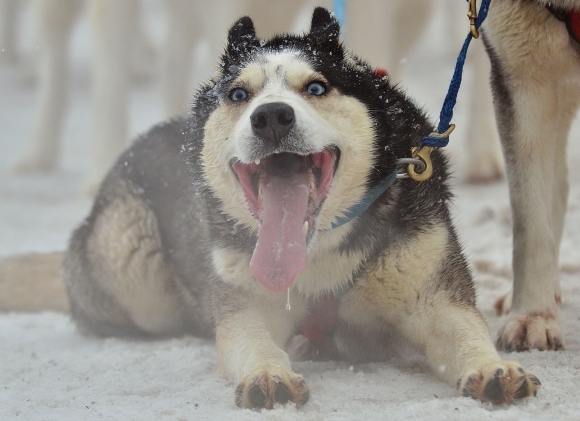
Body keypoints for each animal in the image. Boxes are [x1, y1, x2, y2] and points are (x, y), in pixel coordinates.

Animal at [60, 7, 540, 406]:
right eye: (239, 95)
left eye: (315, 87)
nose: (271, 116)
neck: (317, 256)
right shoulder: (246, 298)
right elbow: (251, 340)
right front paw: (266, 374)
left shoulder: (432, 288)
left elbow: (462, 329)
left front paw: (491, 366)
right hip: (134, 274)